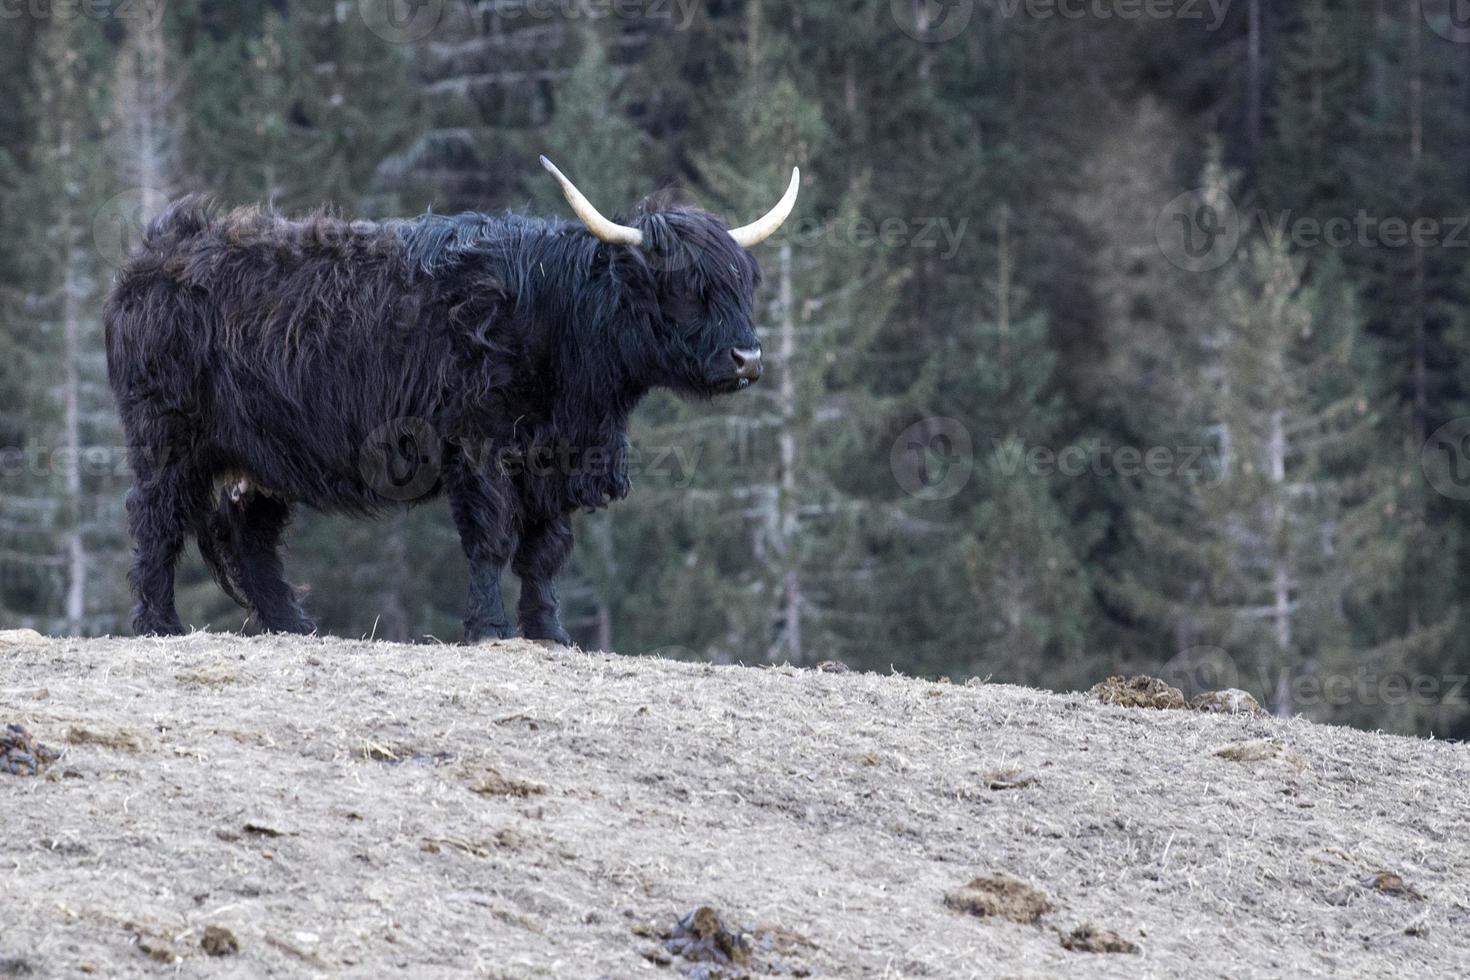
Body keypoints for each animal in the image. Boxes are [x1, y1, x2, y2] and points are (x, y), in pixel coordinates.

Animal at [103, 157, 799, 640]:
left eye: (742, 284)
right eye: (680, 287)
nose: (747, 359)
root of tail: (154, 257)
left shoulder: (557, 459)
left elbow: (545, 553)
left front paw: (551, 632)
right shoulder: (480, 446)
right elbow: (491, 540)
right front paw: (488, 628)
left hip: (259, 458)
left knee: (251, 540)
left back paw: (296, 627)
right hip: (167, 436)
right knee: (155, 519)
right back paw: (159, 624)